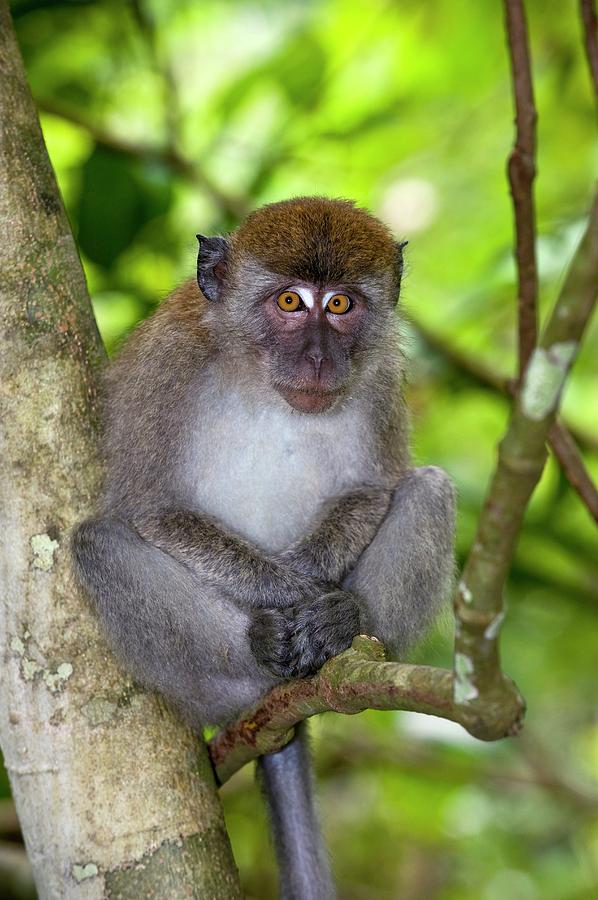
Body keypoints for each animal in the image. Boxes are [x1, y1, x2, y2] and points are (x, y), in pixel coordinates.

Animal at [72, 199, 458, 900]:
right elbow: (152, 511)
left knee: (431, 490)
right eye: (288, 301)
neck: (255, 378)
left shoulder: (381, 376)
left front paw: (324, 607)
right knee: (97, 544)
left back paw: (347, 630)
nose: (318, 358)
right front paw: (290, 596)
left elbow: (375, 489)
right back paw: (260, 649)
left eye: (339, 304)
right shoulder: (168, 365)